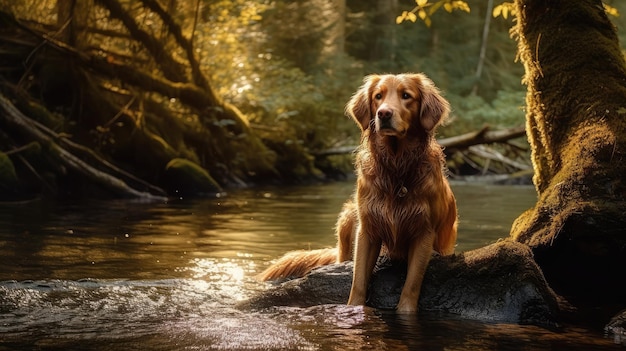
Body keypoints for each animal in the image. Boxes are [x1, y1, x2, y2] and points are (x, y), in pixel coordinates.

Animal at [258, 73, 458, 314]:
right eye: (378, 96)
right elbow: (358, 279)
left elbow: (411, 284)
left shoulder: (424, 233)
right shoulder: (367, 230)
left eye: (406, 96)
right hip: (348, 217)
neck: (396, 168)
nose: (384, 113)